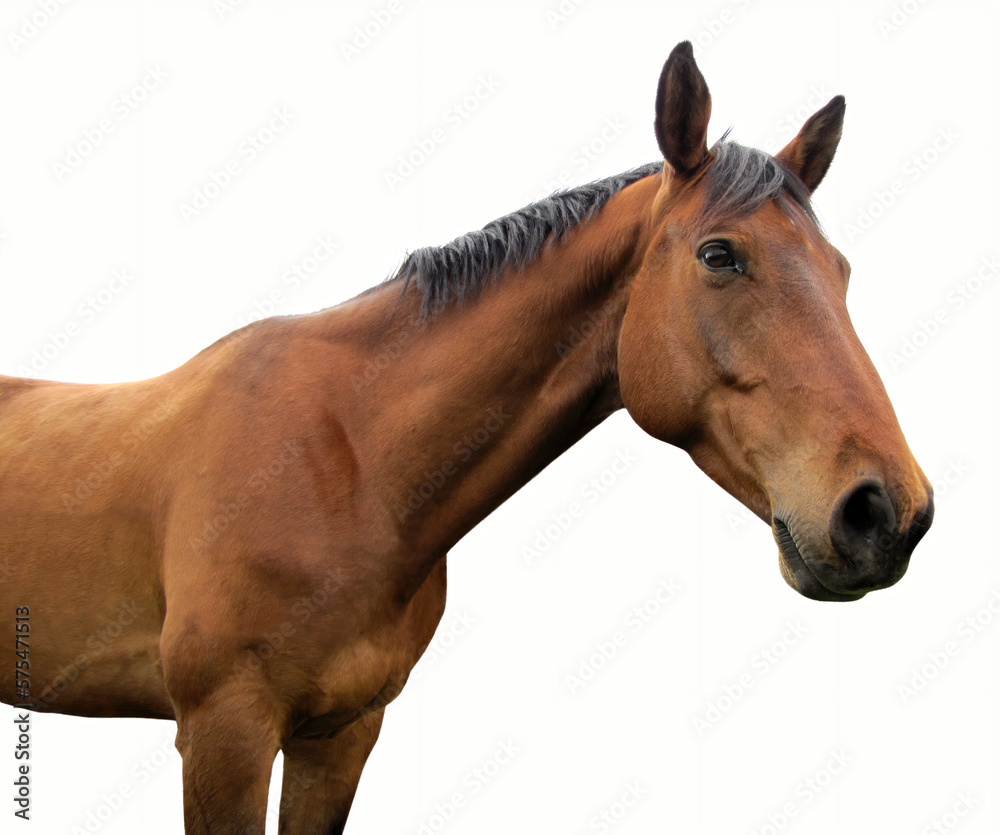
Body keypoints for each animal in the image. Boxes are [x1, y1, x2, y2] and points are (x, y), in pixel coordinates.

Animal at [0, 41, 933, 834]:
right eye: (719, 255)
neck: (346, 462)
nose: (888, 511)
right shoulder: (223, 733)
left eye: (842, 270)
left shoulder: (341, 734)